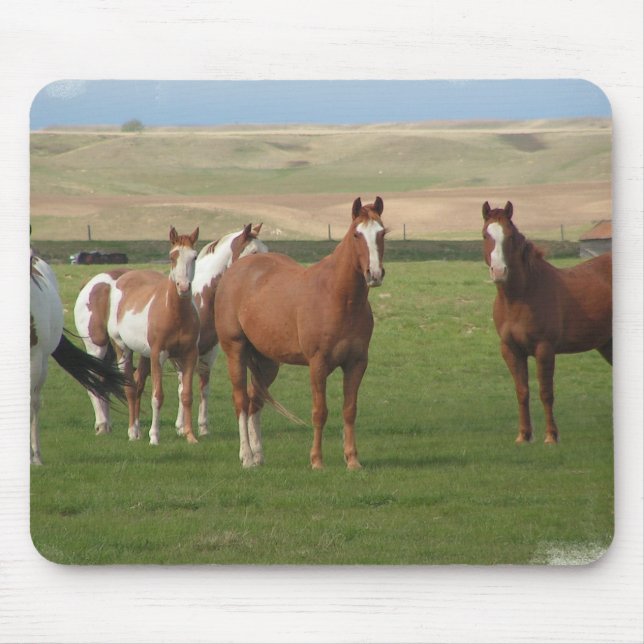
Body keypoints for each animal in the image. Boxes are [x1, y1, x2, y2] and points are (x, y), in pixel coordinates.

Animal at [215, 197, 386, 469]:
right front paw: (316, 460)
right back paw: (247, 456)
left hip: (268, 362)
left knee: (254, 400)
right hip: (236, 351)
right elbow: (320, 412)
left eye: (382, 232)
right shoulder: (318, 364)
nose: (375, 274)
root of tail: (237, 269)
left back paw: (258, 453)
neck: (339, 297)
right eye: (357, 234)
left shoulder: (357, 363)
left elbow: (350, 410)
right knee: (241, 400)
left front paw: (352, 460)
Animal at [481, 201, 612, 444]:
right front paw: (524, 435)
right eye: (485, 234)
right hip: (607, 344)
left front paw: (551, 435)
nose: (499, 271)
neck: (521, 296)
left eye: (510, 236)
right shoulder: (511, 350)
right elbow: (522, 391)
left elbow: (546, 392)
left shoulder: (544, 349)